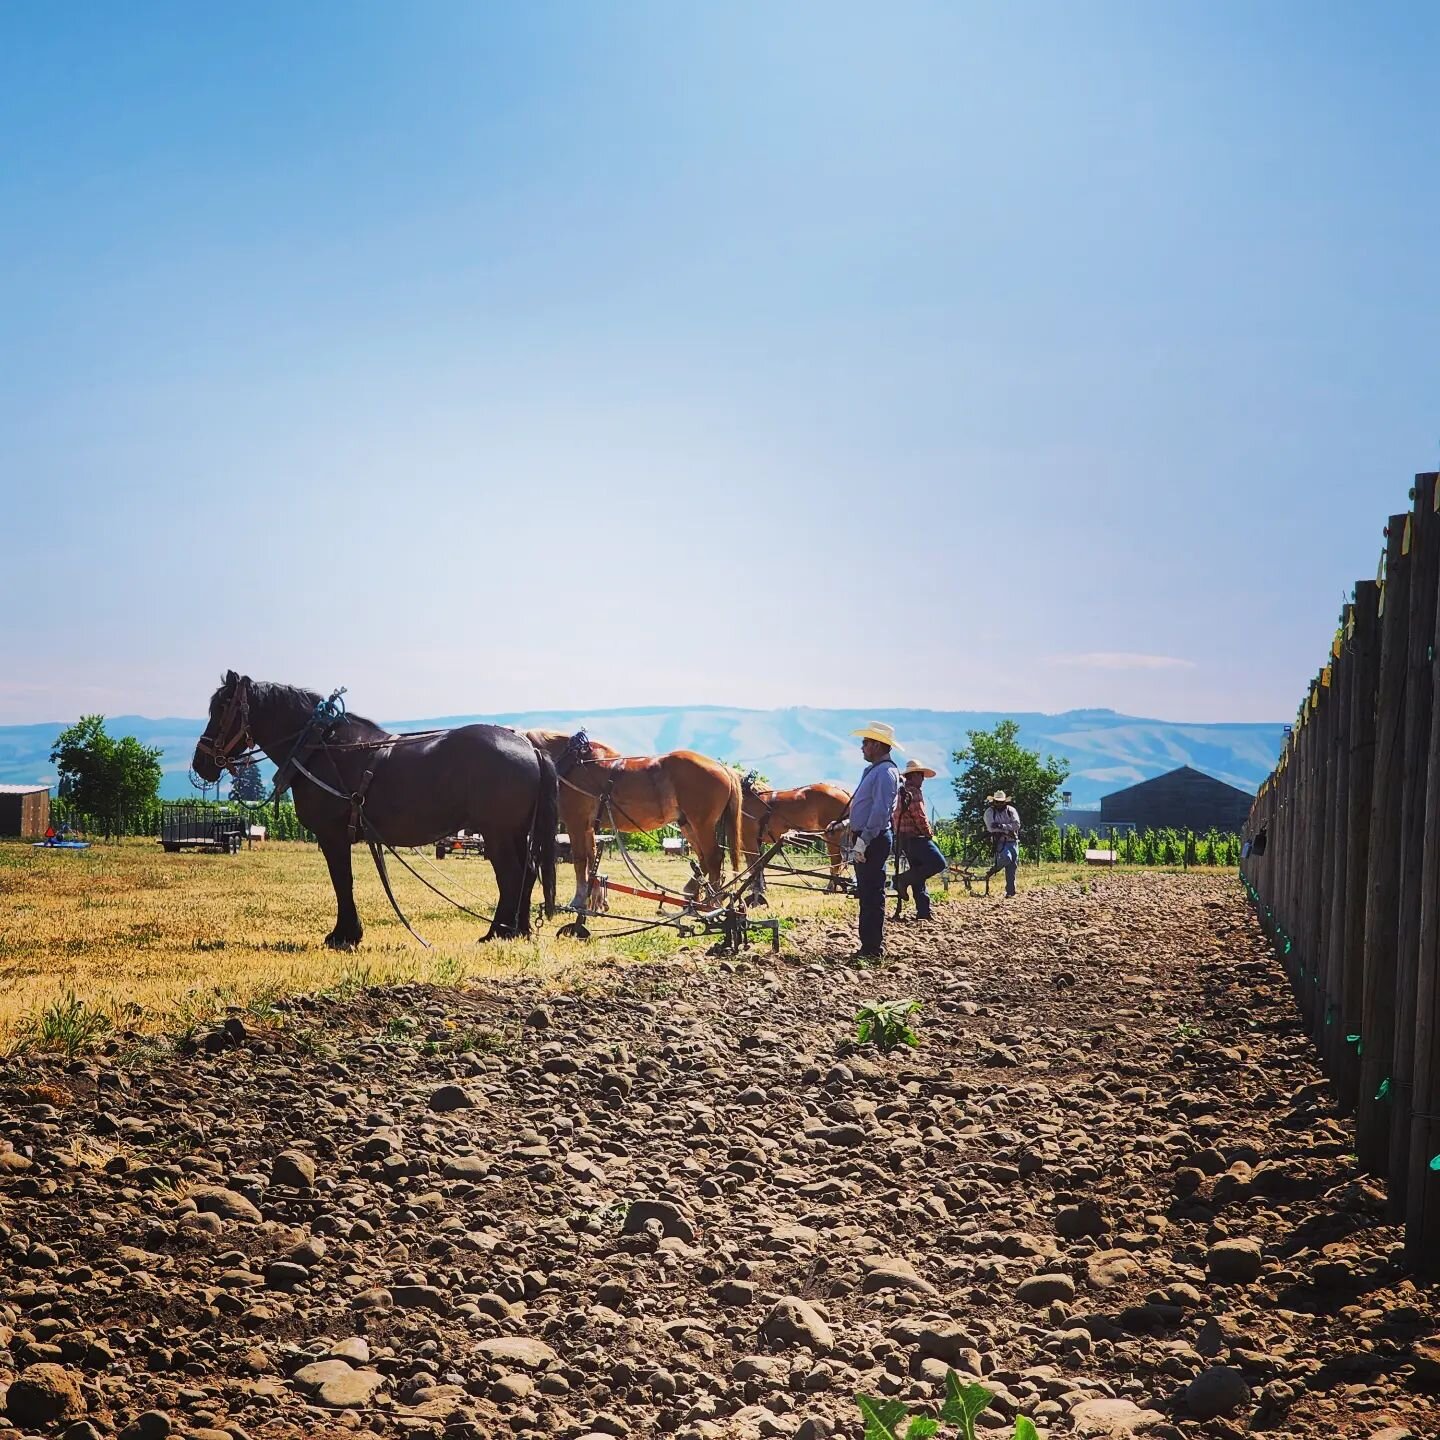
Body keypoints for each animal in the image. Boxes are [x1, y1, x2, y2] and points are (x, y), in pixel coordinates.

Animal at [524, 731, 743, 921]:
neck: (572, 763)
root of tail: (723, 768)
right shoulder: (587, 826)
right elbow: (591, 859)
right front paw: (594, 900)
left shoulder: (576, 821)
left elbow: (580, 860)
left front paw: (578, 901)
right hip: (687, 824)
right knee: (703, 859)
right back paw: (693, 896)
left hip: (701, 823)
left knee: (714, 858)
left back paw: (712, 903)